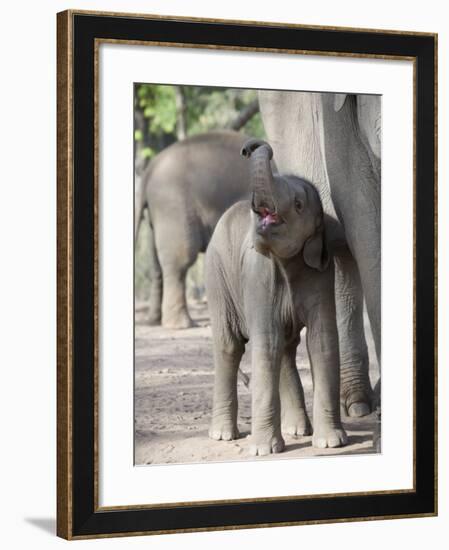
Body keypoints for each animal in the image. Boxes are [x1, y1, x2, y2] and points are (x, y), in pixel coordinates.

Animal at [135, 132, 252, 330]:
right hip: (173, 206)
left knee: (157, 263)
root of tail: (148, 171)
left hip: (158, 215)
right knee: (180, 261)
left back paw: (154, 321)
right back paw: (181, 325)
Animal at [205, 138, 348, 458]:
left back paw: (297, 430)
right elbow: (266, 341)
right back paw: (223, 435)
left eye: (298, 204)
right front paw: (262, 451)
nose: (250, 146)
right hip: (218, 276)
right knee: (230, 346)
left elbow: (321, 340)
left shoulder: (321, 274)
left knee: (285, 347)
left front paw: (332, 443)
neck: (287, 263)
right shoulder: (257, 277)